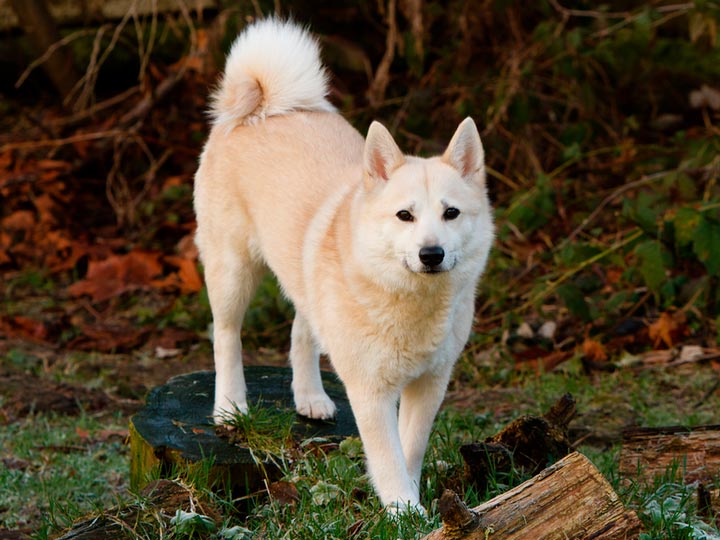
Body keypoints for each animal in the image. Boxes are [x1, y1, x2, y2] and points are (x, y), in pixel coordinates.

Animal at [193, 17, 496, 516]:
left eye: (451, 213)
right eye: (405, 215)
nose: (431, 254)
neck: (411, 303)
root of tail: (262, 106)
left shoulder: (430, 384)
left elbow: (410, 448)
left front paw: (410, 500)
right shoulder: (370, 390)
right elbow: (387, 454)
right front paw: (403, 511)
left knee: (301, 329)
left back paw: (310, 397)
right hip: (232, 271)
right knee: (226, 335)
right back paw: (229, 406)